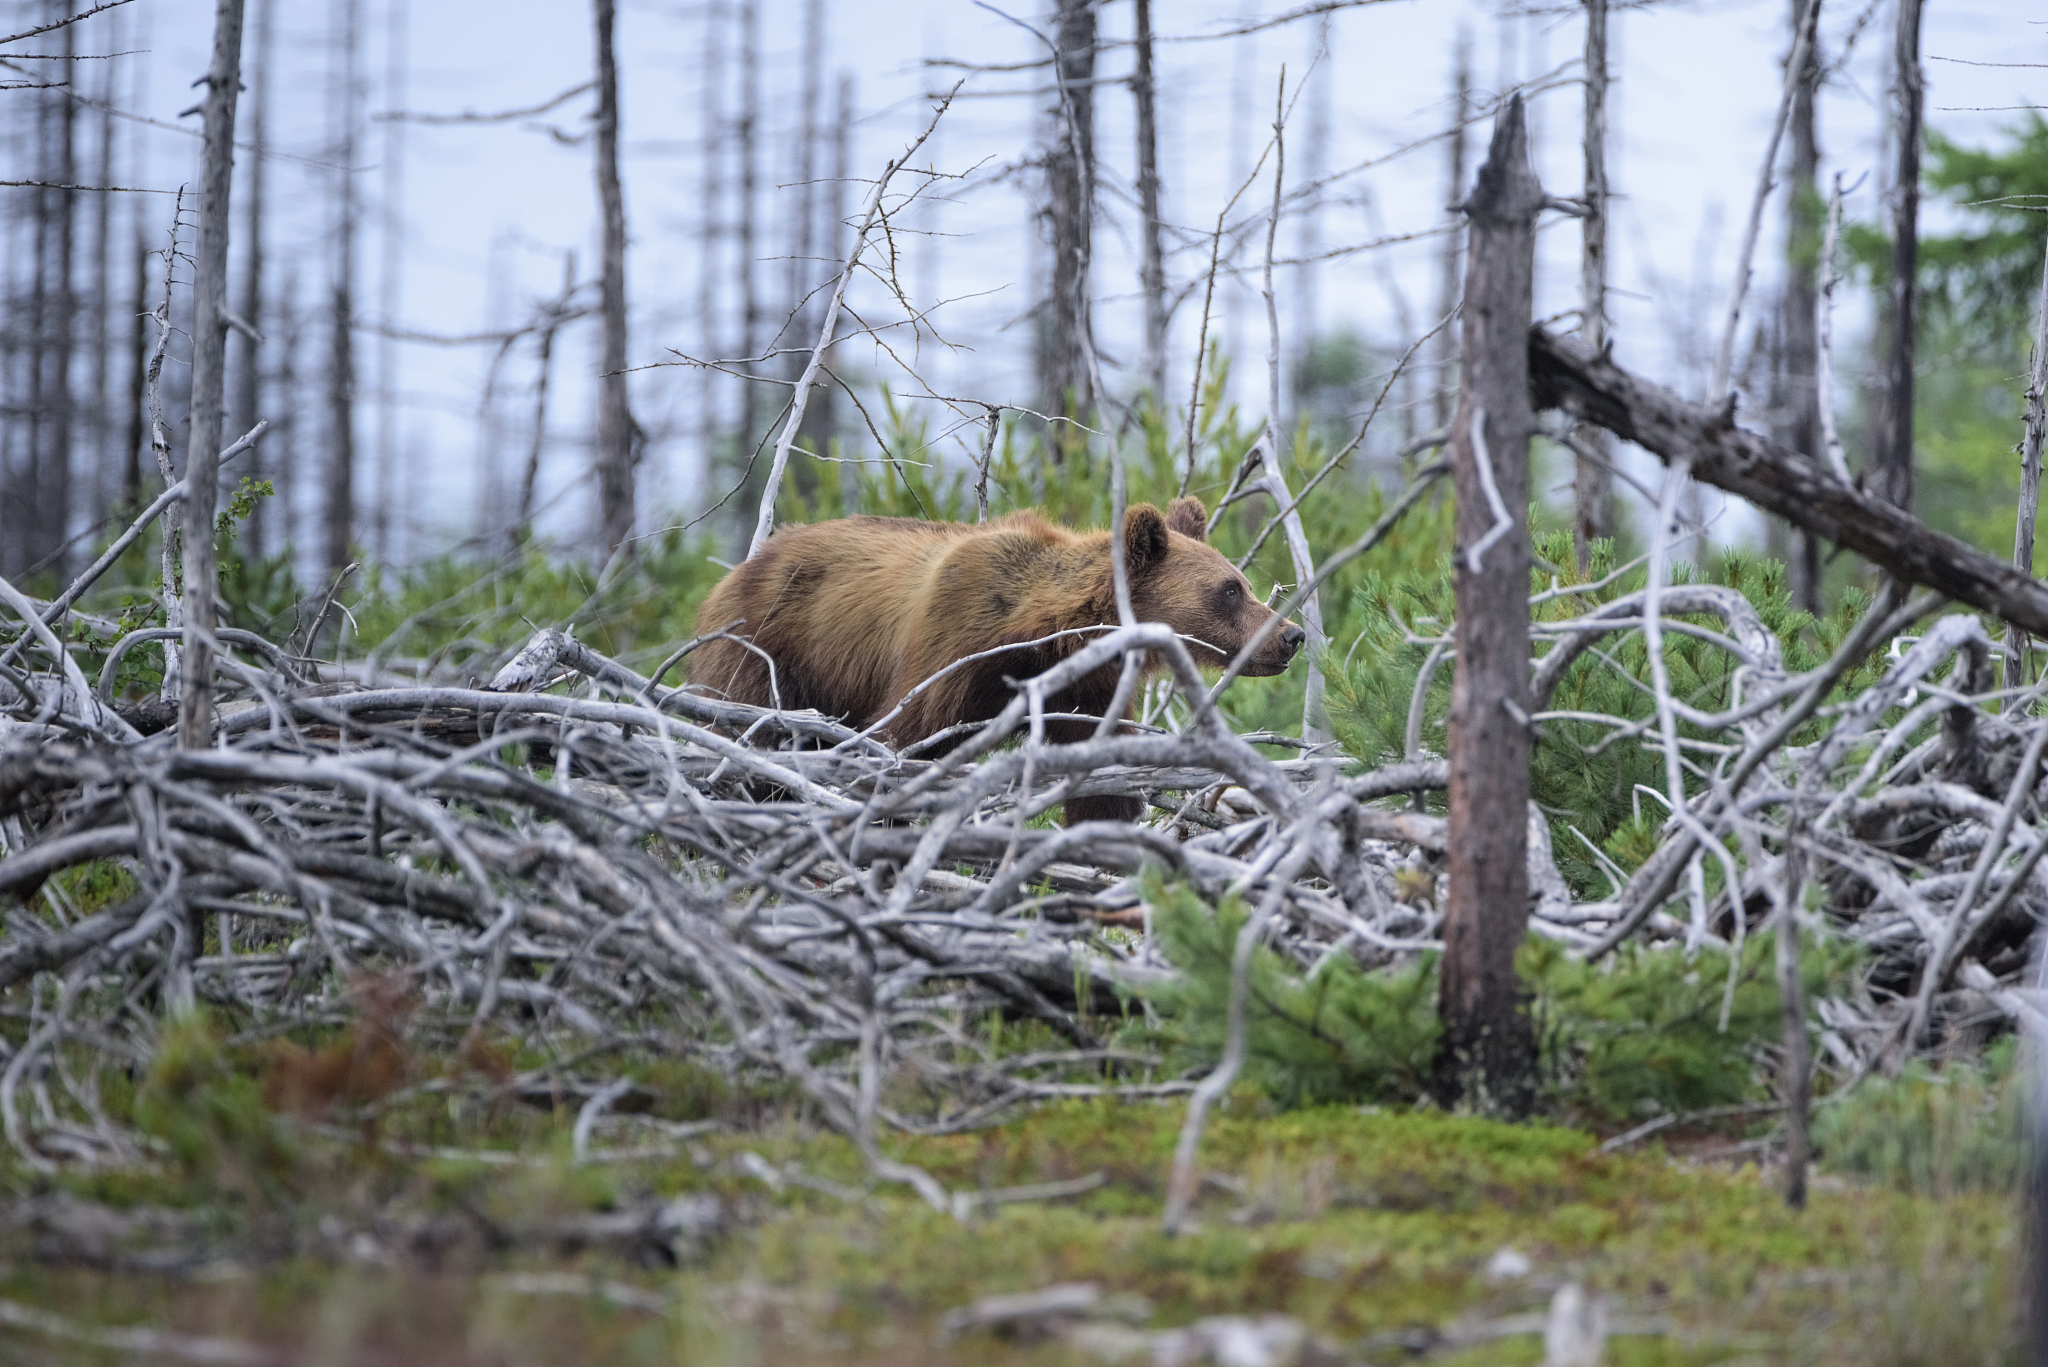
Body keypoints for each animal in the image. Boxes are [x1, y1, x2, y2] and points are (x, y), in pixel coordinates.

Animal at [686, 494, 1305, 823]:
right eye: (1231, 590)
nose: (1291, 635)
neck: (1045, 639)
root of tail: (736, 570)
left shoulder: (1083, 690)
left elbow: (1102, 780)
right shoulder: (951, 649)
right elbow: (906, 742)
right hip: (767, 649)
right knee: (750, 727)